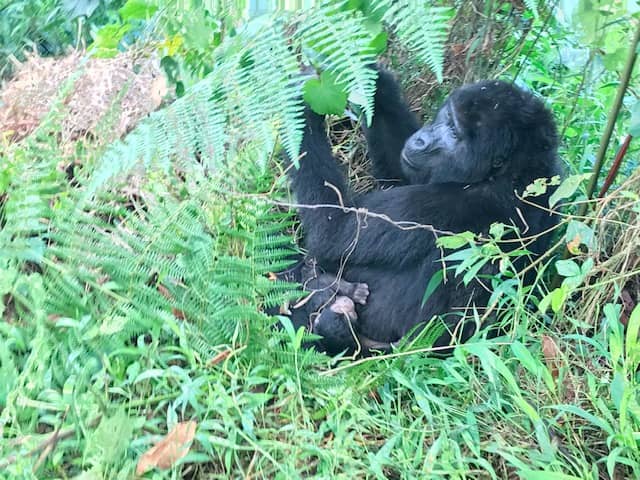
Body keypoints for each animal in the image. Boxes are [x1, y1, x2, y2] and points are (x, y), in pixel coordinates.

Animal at [282, 69, 556, 358]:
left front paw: (299, 102)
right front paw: (375, 81)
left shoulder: (459, 203)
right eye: (445, 116)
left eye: (454, 132)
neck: (515, 172)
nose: (421, 139)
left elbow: (335, 229)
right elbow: (397, 174)